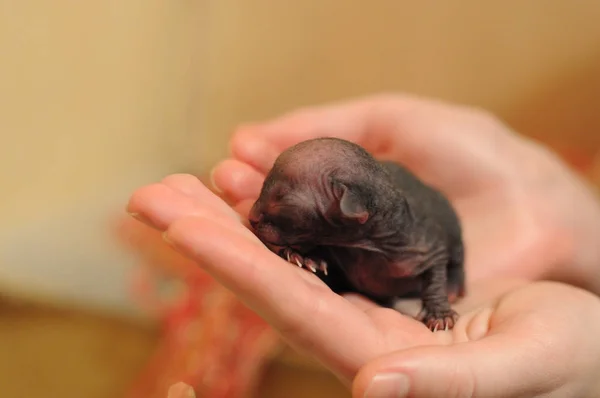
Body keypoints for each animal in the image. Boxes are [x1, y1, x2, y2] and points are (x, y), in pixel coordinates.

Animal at [246, 137, 466, 330]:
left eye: (282, 200)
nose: (251, 217)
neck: (367, 245)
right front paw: (305, 256)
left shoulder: (424, 244)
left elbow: (435, 275)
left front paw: (439, 314)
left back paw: (453, 287)